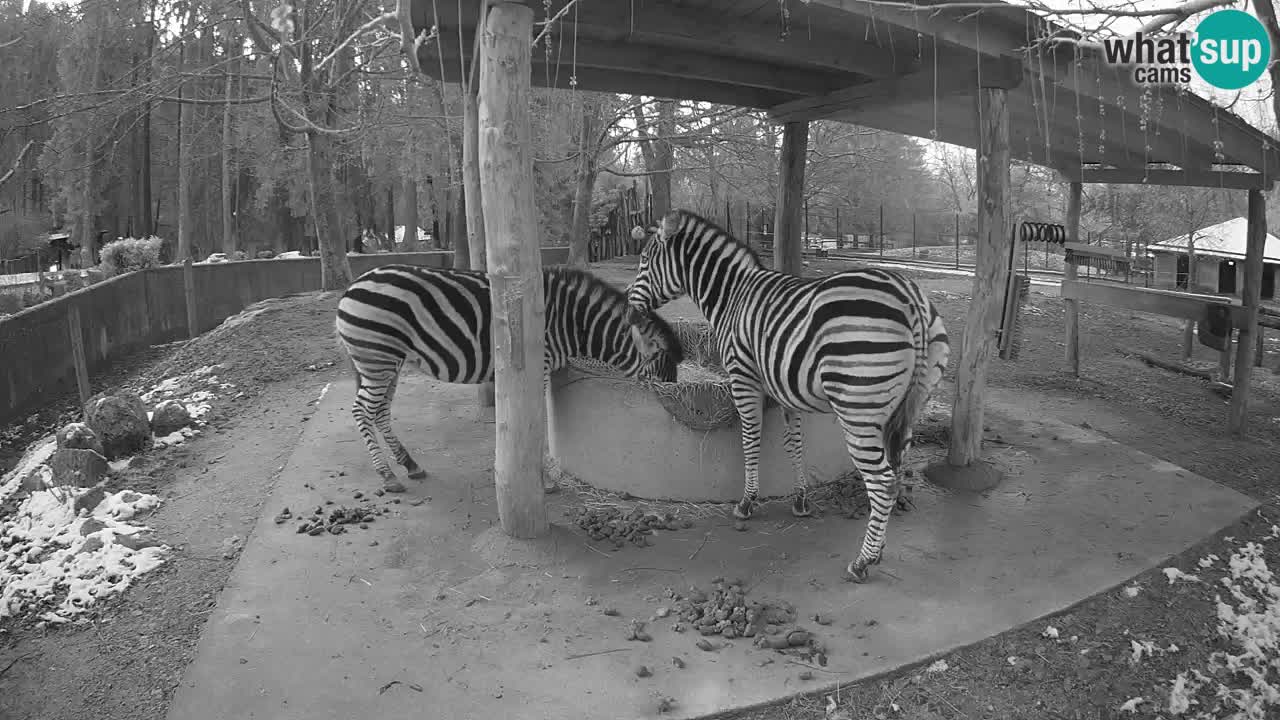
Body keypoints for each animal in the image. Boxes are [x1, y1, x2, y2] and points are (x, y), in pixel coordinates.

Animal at [335, 263, 686, 491]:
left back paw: (409, 464)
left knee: (380, 411)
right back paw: (387, 475)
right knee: (361, 410)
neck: (572, 322)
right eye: (662, 380)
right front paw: (546, 481)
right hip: (378, 357)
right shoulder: (538, 367)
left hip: (388, 361)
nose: (675, 416)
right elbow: (537, 423)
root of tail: (353, 286)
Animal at [624, 210, 947, 579]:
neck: (731, 297)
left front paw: (747, 502)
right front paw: (801, 500)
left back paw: (863, 561)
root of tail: (910, 297)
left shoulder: (743, 377)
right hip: (909, 406)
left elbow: (751, 440)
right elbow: (794, 442)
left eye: (644, 260)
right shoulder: (784, 387)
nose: (629, 313)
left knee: (883, 483)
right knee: (896, 468)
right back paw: (877, 550)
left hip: (858, 409)